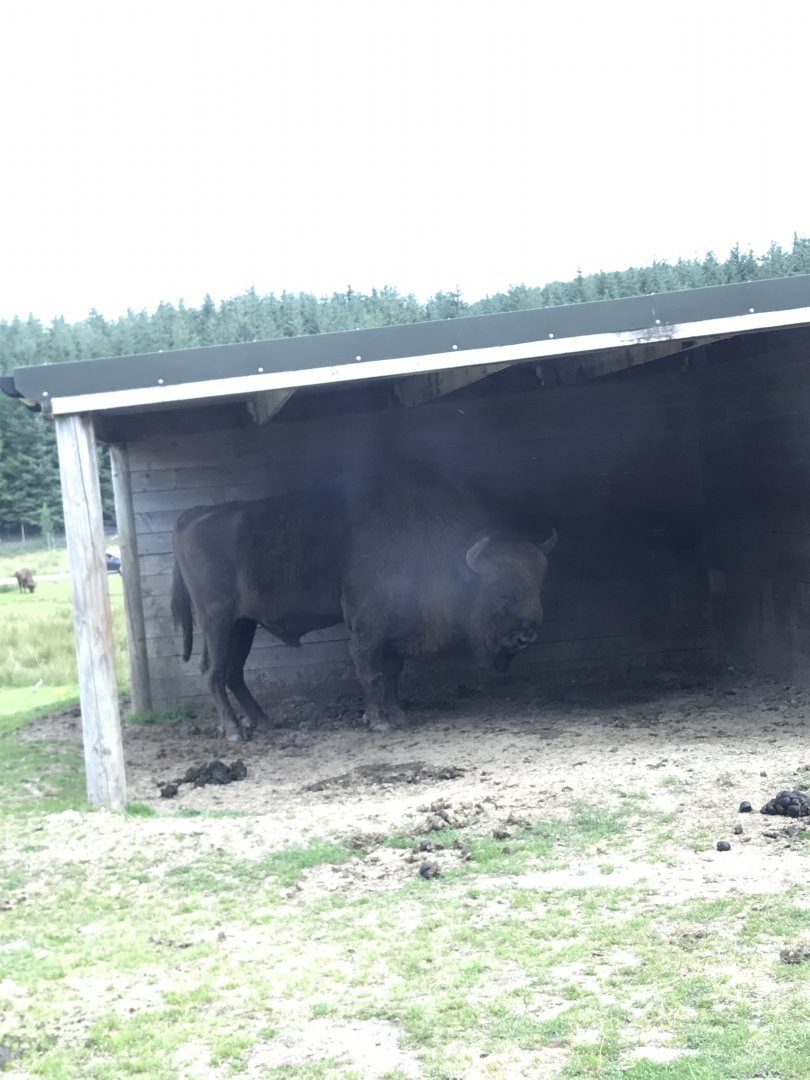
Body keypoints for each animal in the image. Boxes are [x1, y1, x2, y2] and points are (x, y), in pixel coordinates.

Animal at [171, 461, 556, 741]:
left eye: (538, 585)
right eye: (501, 591)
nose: (526, 636)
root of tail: (192, 516)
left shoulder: (398, 631)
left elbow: (393, 673)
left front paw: (399, 716)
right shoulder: (367, 625)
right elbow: (370, 670)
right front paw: (379, 722)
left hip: (243, 624)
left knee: (233, 671)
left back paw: (264, 723)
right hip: (217, 620)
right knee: (213, 672)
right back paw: (235, 732)